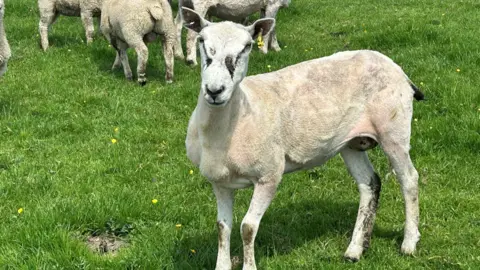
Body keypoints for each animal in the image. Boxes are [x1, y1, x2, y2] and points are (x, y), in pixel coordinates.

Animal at [182, 7, 422, 268]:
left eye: (246, 46)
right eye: (202, 41)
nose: (215, 91)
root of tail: (397, 69)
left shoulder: (269, 175)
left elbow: (248, 227)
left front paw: (249, 265)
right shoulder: (220, 182)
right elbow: (222, 228)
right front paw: (222, 264)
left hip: (394, 129)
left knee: (409, 179)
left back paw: (409, 243)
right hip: (350, 143)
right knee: (369, 184)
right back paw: (355, 249)